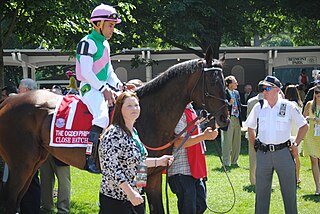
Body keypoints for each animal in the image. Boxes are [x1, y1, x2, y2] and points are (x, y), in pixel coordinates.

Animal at [0, 50, 228, 214]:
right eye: (214, 81)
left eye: (225, 81)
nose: (224, 118)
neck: (147, 114)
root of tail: (8, 101)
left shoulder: (154, 176)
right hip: (21, 164)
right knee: (10, 200)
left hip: (34, 162)